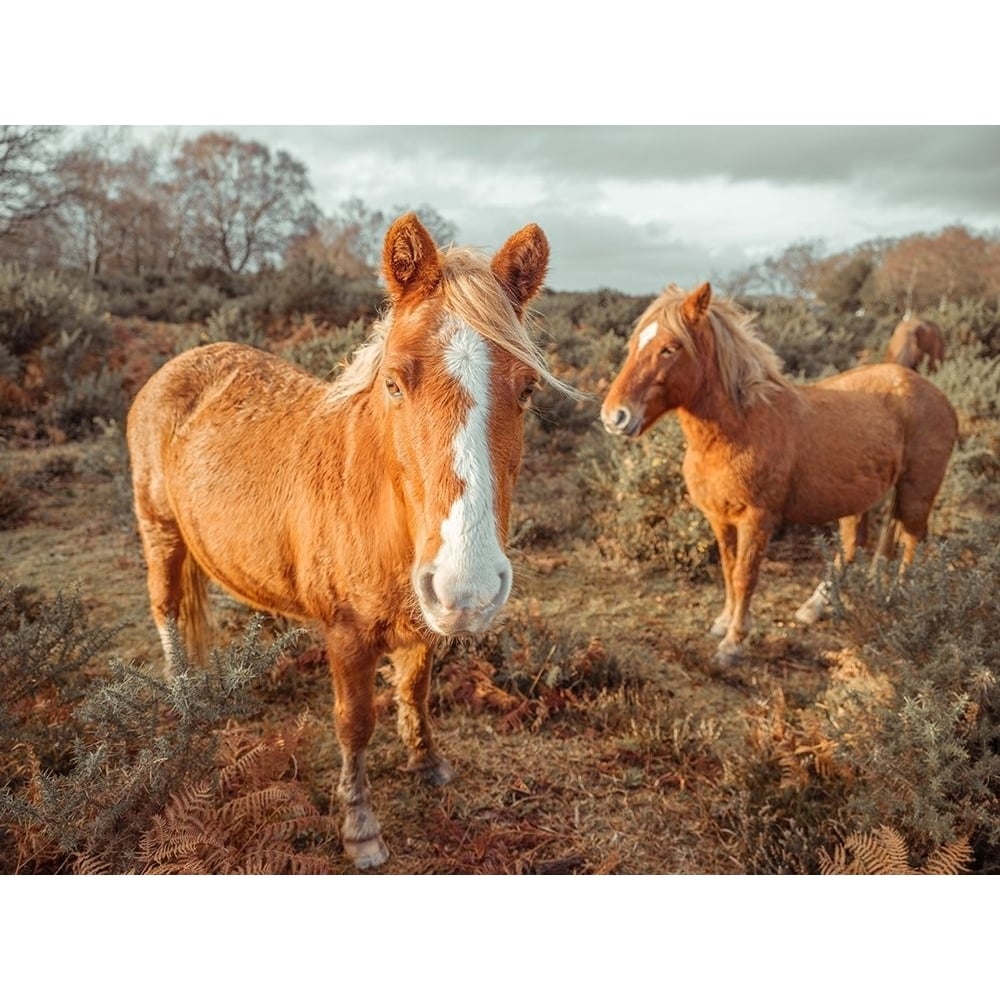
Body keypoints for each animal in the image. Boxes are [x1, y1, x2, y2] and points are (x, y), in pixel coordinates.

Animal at [126, 213, 568, 868]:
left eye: (528, 389)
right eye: (394, 383)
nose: (468, 587)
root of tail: (179, 363)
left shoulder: (421, 622)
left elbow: (415, 691)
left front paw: (428, 764)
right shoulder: (346, 635)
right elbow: (354, 723)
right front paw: (360, 827)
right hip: (159, 531)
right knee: (166, 611)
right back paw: (183, 697)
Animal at [596, 282, 956, 668]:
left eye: (669, 348)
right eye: (634, 344)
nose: (614, 416)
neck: (739, 428)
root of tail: (935, 393)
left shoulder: (757, 520)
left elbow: (745, 576)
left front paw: (733, 643)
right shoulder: (719, 518)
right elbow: (728, 570)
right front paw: (723, 623)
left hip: (917, 490)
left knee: (911, 539)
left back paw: (898, 598)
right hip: (862, 498)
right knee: (857, 545)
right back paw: (820, 604)